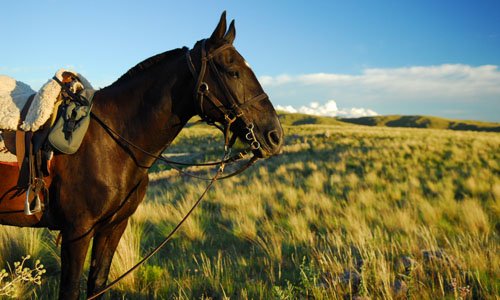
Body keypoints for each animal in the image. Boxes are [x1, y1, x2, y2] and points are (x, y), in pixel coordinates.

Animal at [0, 12, 282, 298]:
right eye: (233, 71)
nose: (274, 135)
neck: (114, 141)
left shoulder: (112, 228)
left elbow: (97, 284)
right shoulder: (77, 232)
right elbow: (71, 290)